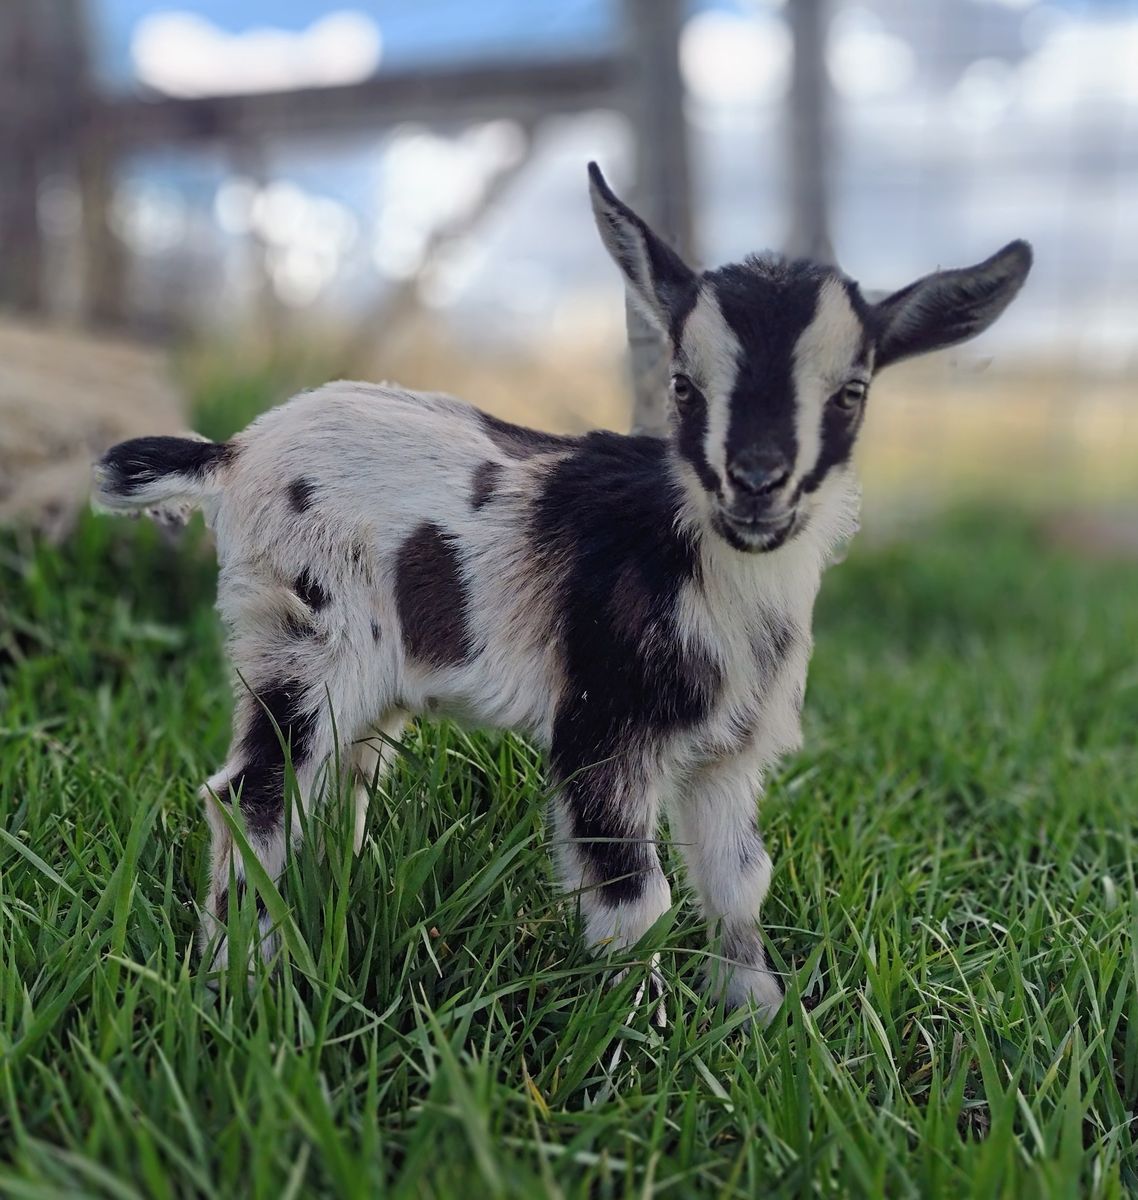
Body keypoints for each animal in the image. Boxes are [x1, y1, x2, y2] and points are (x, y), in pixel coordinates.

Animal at [93, 164, 1031, 1021]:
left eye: (851, 393)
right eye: (684, 386)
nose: (756, 482)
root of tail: (234, 452)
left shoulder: (729, 754)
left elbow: (739, 883)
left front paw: (760, 1022)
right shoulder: (603, 730)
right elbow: (634, 901)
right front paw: (640, 1044)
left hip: (367, 676)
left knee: (335, 788)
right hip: (299, 639)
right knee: (252, 796)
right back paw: (237, 982)